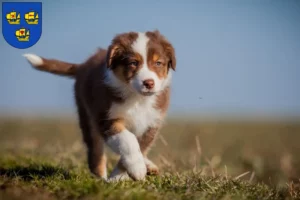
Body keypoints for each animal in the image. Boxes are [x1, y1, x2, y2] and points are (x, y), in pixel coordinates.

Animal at [23, 29, 176, 181]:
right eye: (133, 63)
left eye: (158, 63)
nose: (149, 83)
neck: (136, 98)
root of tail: (83, 65)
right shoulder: (106, 118)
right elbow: (128, 141)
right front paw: (135, 169)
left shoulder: (151, 124)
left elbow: (140, 147)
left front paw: (119, 176)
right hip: (87, 118)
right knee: (96, 153)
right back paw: (101, 179)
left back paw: (148, 166)